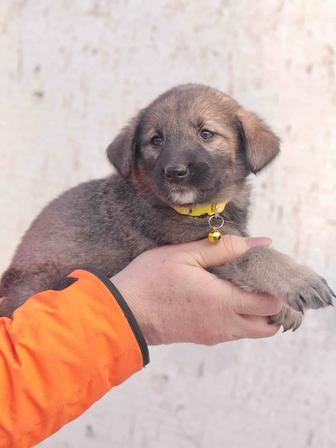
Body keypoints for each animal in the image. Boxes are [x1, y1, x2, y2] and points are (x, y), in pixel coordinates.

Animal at [0, 85, 334, 328]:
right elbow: (255, 255)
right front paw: (298, 280)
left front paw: (285, 309)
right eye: (156, 141)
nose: (175, 171)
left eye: (206, 134)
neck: (206, 210)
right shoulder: (199, 244)